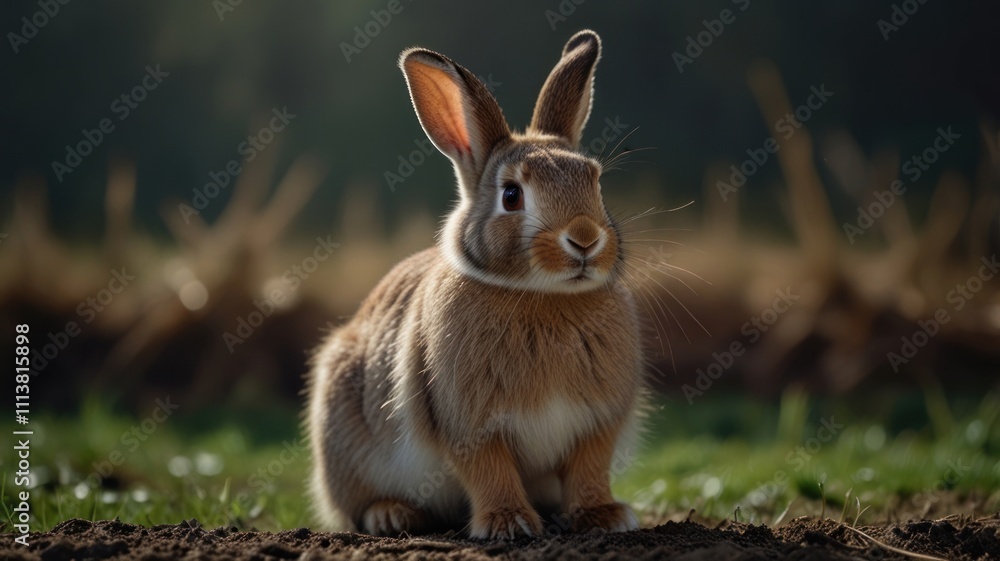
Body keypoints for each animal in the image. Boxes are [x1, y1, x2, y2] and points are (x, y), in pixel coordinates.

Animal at [305, 29, 644, 539]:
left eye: (596, 182)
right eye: (511, 195)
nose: (585, 239)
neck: (542, 295)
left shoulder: (598, 422)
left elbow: (589, 469)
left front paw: (604, 516)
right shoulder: (467, 423)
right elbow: (489, 469)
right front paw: (509, 524)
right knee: (355, 504)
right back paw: (392, 514)